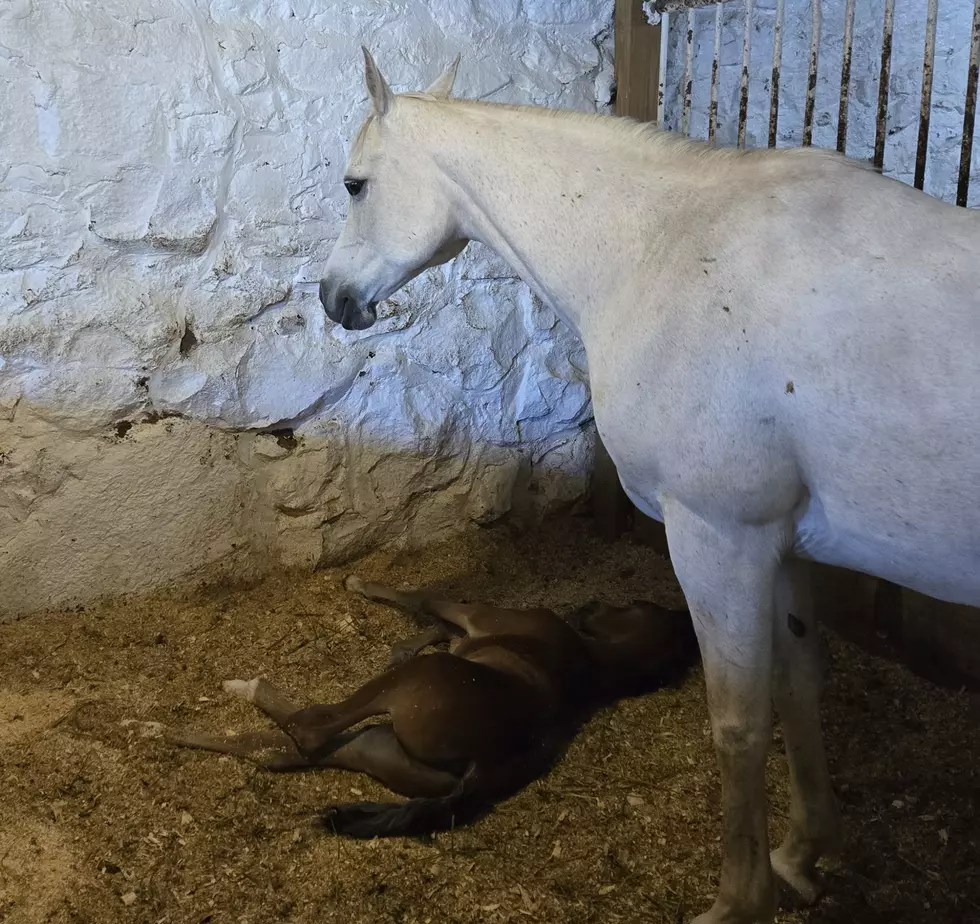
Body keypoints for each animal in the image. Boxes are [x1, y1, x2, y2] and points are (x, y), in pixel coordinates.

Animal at [168, 578, 697, 838]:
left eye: (635, 602)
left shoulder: (479, 614)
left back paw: (244, 687)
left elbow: (426, 599)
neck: (593, 661)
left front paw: (360, 586)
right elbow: (436, 623)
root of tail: (485, 767)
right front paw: (404, 641)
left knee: (310, 730)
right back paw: (167, 731)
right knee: (283, 752)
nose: (587, 608)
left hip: (409, 690)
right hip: (378, 749)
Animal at [315, 48, 980, 923]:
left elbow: (738, 723)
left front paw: (739, 901)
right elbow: (799, 688)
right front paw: (802, 854)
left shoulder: (717, 538)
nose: (333, 298)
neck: (666, 250)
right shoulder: (784, 547)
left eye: (355, 184)